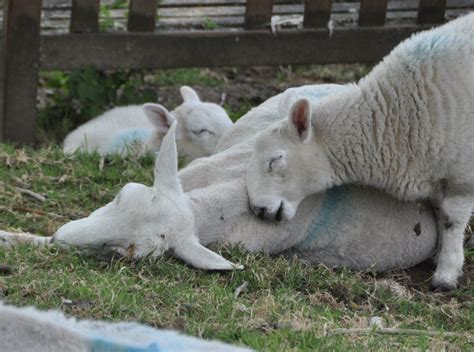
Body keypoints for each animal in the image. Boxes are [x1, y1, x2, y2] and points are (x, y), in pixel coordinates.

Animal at [244, 12, 474, 290]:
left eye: (275, 160)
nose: (257, 210)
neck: (391, 118)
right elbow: (441, 216)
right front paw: (440, 256)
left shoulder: (462, 175)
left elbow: (451, 220)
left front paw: (446, 273)